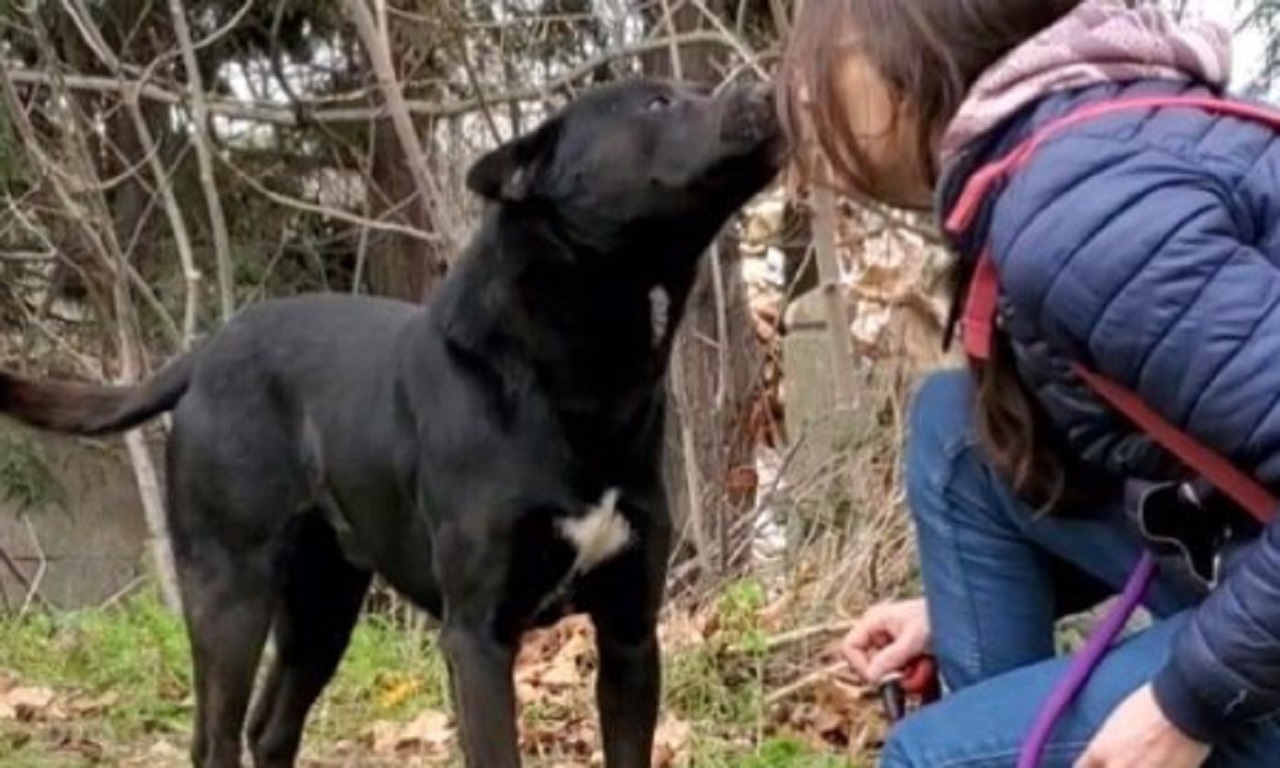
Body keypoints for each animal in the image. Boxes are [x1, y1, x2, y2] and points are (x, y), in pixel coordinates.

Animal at [0, 76, 783, 762]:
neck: (586, 365)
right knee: (217, 737)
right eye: (657, 102)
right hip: (230, 589)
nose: (766, 90)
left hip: (322, 602)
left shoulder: (629, 633)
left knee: (269, 729)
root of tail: (205, 352)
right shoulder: (477, 636)